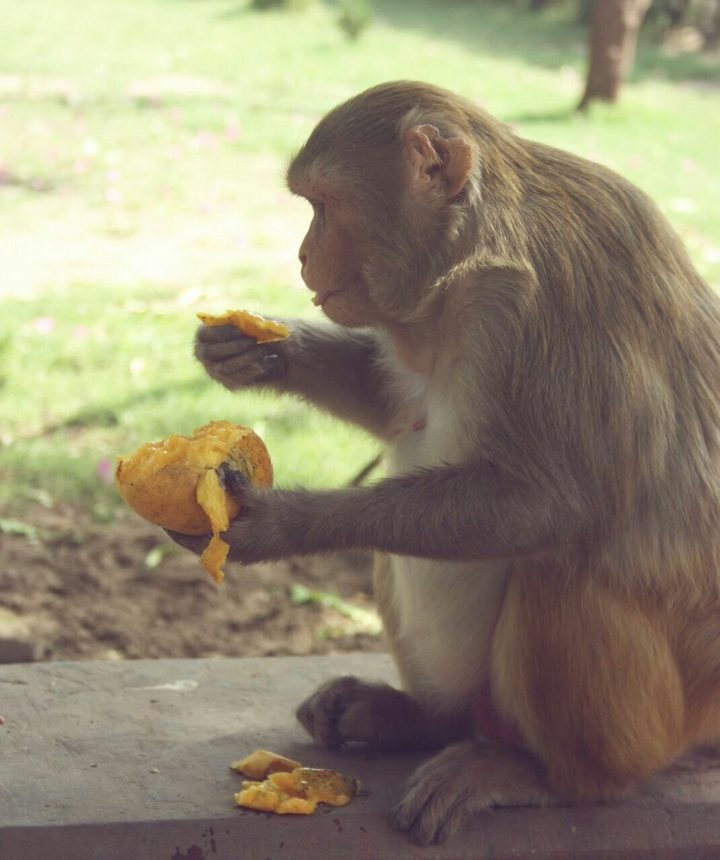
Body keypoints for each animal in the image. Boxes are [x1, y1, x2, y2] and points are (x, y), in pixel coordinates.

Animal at [170, 81, 720, 845]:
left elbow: (560, 502)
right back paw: (424, 720)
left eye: (322, 204)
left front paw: (281, 523)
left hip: (664, 718)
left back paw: (548, 777)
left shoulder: (542, 301)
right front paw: (256, 349)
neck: (473, 260)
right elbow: (398, 411)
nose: (303, 255)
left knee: (556, 568)